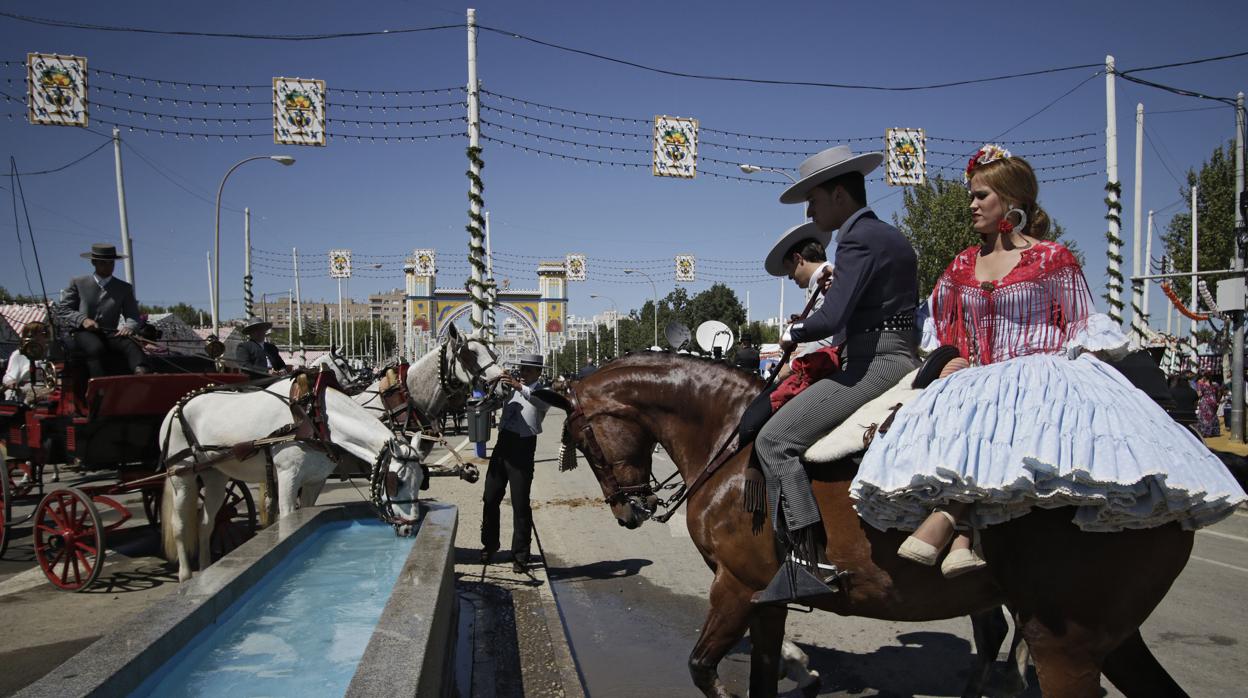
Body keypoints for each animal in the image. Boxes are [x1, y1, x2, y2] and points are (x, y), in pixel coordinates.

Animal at [159, 379, 424, 581]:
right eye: (396, 482)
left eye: (422, 481)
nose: (410, 528)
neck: (315, 416)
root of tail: (177, 407)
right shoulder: (288, 477)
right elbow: (286, 518)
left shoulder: (314, 482)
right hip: (182, 475)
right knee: (180, 524)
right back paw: (186, 576)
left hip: (215, 475)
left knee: (206, 522)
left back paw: (206, 571)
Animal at [551, 354, 1193, 698]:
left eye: (584, 441)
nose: (628, 510)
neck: (733, 442)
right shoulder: (766, 596)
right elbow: (765, 670)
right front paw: (804, 671)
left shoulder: (735, 586)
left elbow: (702, 667)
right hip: (1106, 637)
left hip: (1066, 642)